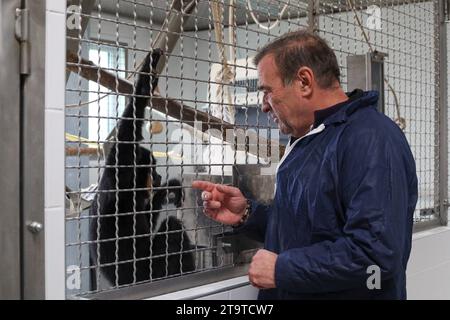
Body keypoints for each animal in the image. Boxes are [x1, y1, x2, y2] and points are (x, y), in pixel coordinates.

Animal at [89, 48, 195, 288]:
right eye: (152, 169)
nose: (157, 175)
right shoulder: (119, 172)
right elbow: (128, 130)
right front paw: (147, 73)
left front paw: (166, 190)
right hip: (150, 272)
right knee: (172, 228)